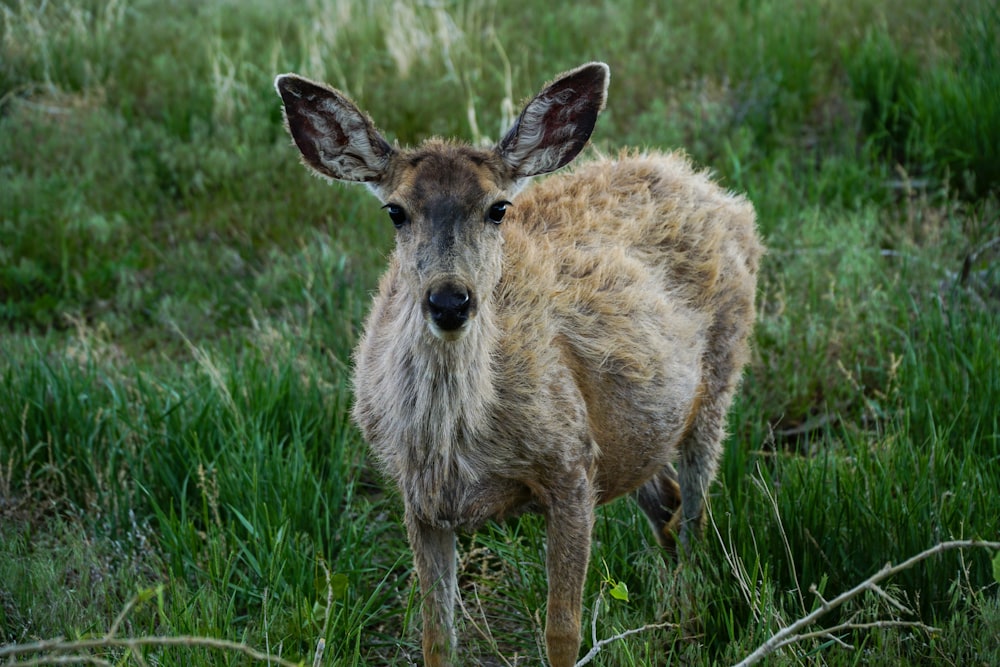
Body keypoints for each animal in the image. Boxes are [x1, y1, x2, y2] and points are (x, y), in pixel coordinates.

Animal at [278, 64, 760, 667]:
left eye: (498, 208)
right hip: (638, 429)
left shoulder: (571, 464)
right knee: (667, 503)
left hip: (720, 371)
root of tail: (708, 185)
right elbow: (436, 638)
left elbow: (562, 633)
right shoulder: (418, 497)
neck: (458, 447)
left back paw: (690, 615)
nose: (450, 301)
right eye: (395, 211)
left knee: (694, 514)